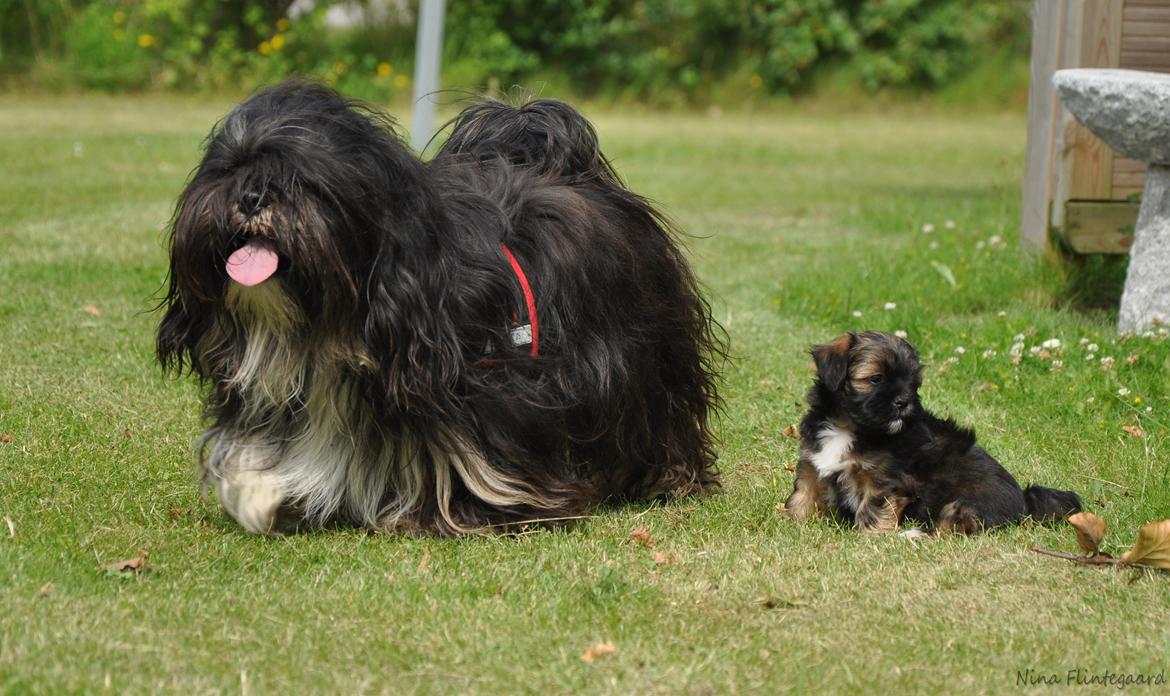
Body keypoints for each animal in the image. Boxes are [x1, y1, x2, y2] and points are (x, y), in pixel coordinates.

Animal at [155, 83, 720, 538]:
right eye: (228, 172)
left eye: (302, 180)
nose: (251, 198)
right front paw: (261, 495)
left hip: (643, 359)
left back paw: (668, 479)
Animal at [781, 332, 1081, 533]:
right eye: (876, 378)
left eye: (913, 384)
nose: (904, 401)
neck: (848, 426)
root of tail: (1025, 502)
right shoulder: (812, 463)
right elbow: (802, 495)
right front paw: (793, 524)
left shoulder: (885, 480)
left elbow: (873, 510)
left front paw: (868, 538)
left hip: (962, 504)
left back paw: (912, 535)